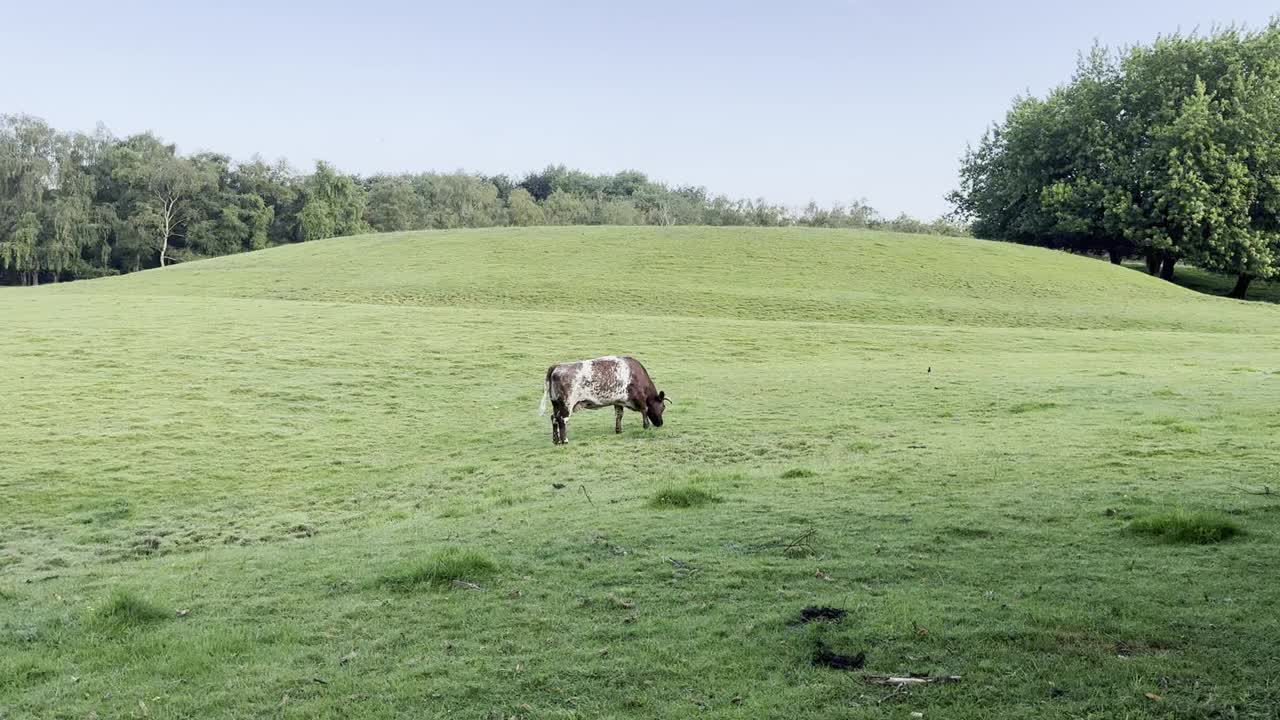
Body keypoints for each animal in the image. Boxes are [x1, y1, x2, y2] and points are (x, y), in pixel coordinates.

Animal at [537, 353, 670, 443]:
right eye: (663, 407)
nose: (660, 423)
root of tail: (557, 366)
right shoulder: (640, 399)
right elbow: (644, 410)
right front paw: (646, 426)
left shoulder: (618, 401)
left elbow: (619, 415)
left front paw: (618, 430)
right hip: (566, 404)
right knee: (561, 420)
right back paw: (564, 440)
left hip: (555, 404)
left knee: (553, 418)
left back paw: (555, 440)